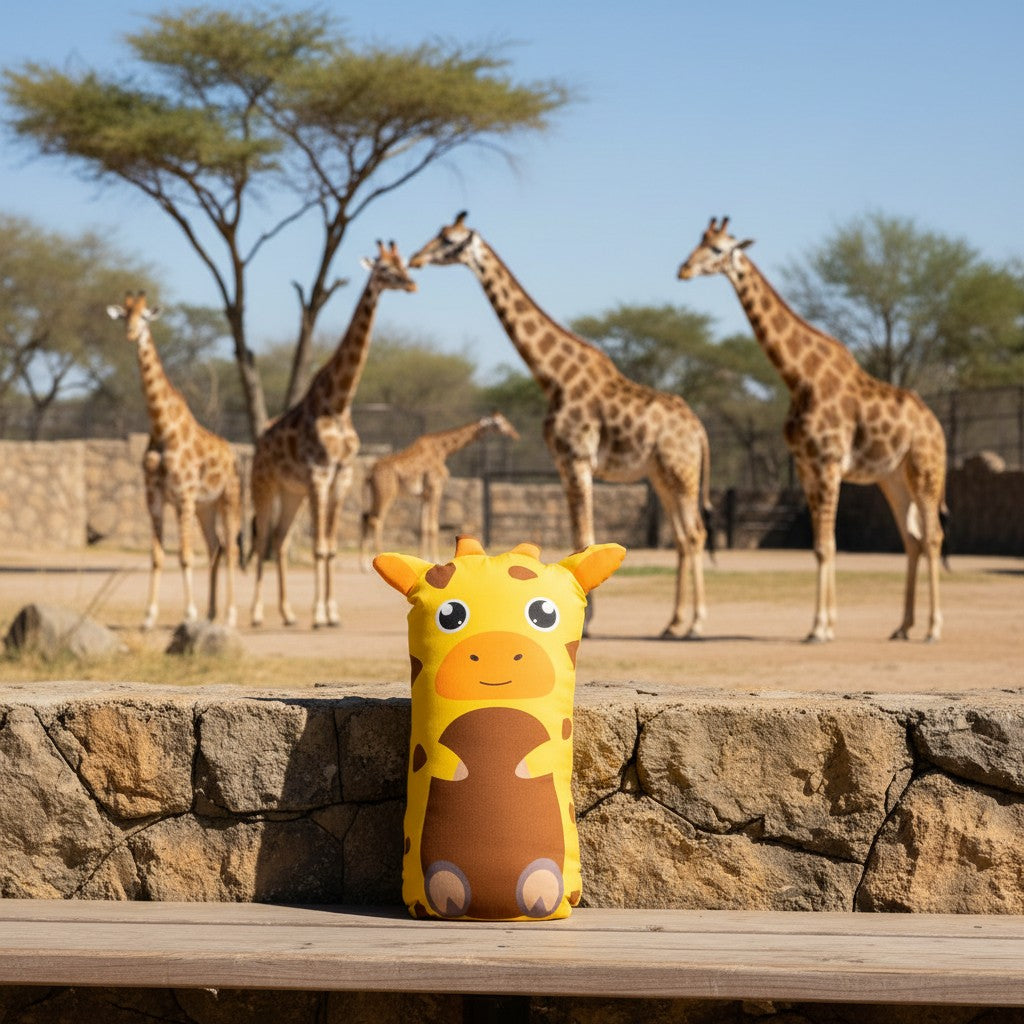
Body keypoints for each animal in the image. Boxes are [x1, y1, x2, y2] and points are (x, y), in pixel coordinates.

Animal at [106, 292, 242, 630]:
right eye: (124, 315)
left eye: (145, 317)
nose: (130, 333)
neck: (161, 427)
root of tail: (233, 454)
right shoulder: (153, 497)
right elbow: (157, 556)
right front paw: (148, 617)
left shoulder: (183, 496)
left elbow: (184, 555)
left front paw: (188, 613)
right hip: (206, 507)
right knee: (216, 547)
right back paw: (211, 614)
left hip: (228, 498)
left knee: (231, 549)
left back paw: (230, 616)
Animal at [250, 241, 416, 628]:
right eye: (384, 269)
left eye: (403, 263)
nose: (411, 283)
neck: (338, 404)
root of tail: (259, 443)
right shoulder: (318, 475)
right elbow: (319, 547)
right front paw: (319, 614)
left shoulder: (342, 476)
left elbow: (331, 548)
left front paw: (332, 612)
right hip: (264, 486)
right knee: (260, 542)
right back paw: (254, 614)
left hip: (291, 492)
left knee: (280, 541)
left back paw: (287, 613)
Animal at [360, 412, 520, 568]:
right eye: (498, 423)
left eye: (505, 420)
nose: (514, 433)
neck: (443, 450)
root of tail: (369, 474)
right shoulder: (436, 487)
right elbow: (433, 526)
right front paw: (435, 559)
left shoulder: (425, 495)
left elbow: (423, 527)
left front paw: (422, 558)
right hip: (387, 493)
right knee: (376, 520)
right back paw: (380, 557)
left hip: (375, 494)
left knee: (366, 517)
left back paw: (365, 564)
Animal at [410, 213, 713, 638]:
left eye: (449, 240)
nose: (416, 258)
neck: (553, 377)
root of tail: (698, 430)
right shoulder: (563, 463)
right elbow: (577, 536)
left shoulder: (577, 458)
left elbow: (585, 538)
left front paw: (587, 621)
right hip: (661, 476)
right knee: (685, 538)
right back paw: (673, 623)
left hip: (680, 471)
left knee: (695, 534)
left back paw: (697, 623)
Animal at [678, 216, 947, 642]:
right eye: (698, 242)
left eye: (717, 248)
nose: (683, 269)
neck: (799, 377)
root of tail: (936, 425)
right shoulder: (806, 466)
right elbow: (819, 546)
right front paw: (823, 624)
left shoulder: (828, 463)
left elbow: (827, 544)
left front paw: (821, 628)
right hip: (892, 477)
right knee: (913, 539)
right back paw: (903, 626)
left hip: (925, 469)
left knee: (933, 537)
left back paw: (933, 628)